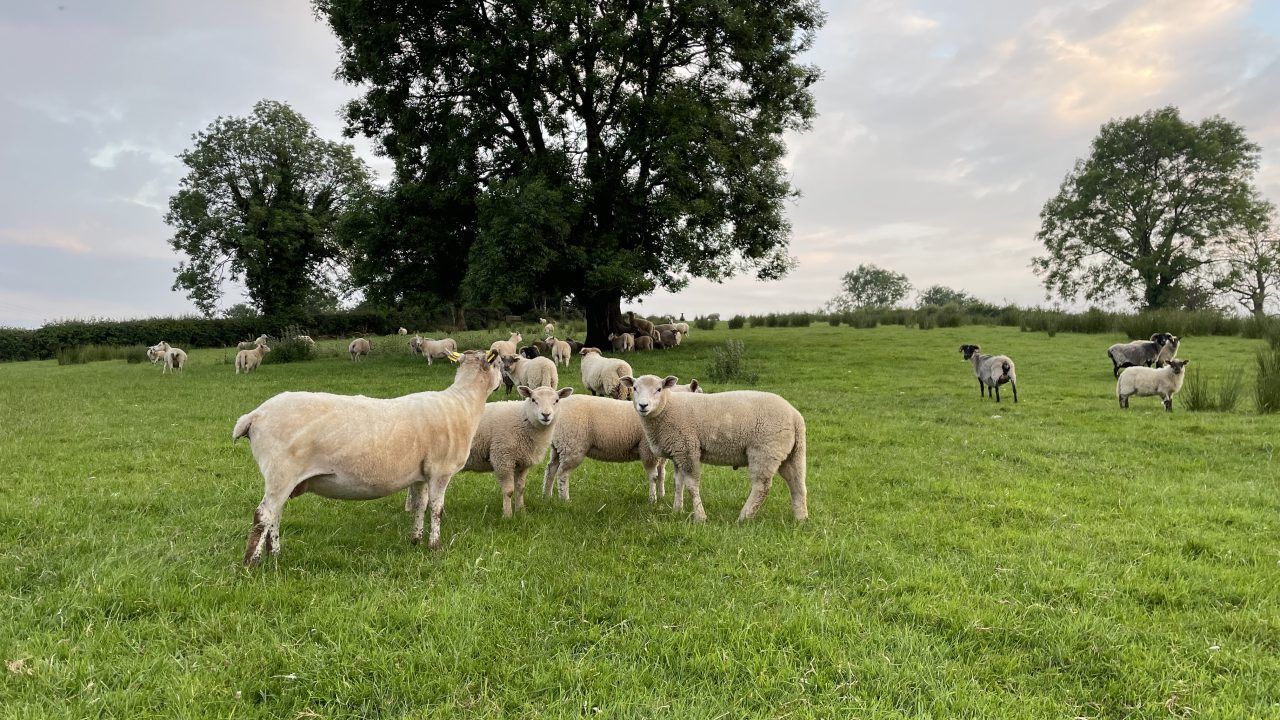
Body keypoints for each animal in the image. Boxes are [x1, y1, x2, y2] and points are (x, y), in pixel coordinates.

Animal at [234, 348, 503, 563]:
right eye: (499, 364)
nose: (504, 381)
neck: (463, 403)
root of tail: (254, 416)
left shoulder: (421, 474)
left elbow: (420, 505)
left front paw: (415, 540)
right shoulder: (440, 471)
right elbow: (437, 509)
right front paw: (435, 546)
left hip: (283, 477)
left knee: (275, 515)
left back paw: (274, 555)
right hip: (281, 472)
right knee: (263, 515)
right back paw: (251, 563)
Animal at [458, 385, 574, 517]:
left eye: (556, 400)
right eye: (533, 399)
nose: (546, 415)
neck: (523, 417)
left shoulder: (522, 462)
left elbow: (520, 489)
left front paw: (521, 511)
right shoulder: (503, 459)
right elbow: (508, 491)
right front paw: (507, 515)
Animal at [618, 374, 807, 523]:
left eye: (658, 389)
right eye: (634, 388)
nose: (643, 406)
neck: (667, 408)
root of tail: (795, 416)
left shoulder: (687, 448)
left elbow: (691, 484)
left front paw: (700, 517)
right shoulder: (677, 451)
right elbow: (678, 483)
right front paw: (676, 511)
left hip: (764, 450)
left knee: (762, 486)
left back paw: (743, 517)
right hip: (792, 453)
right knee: (797, 483)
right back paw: (801, 519)